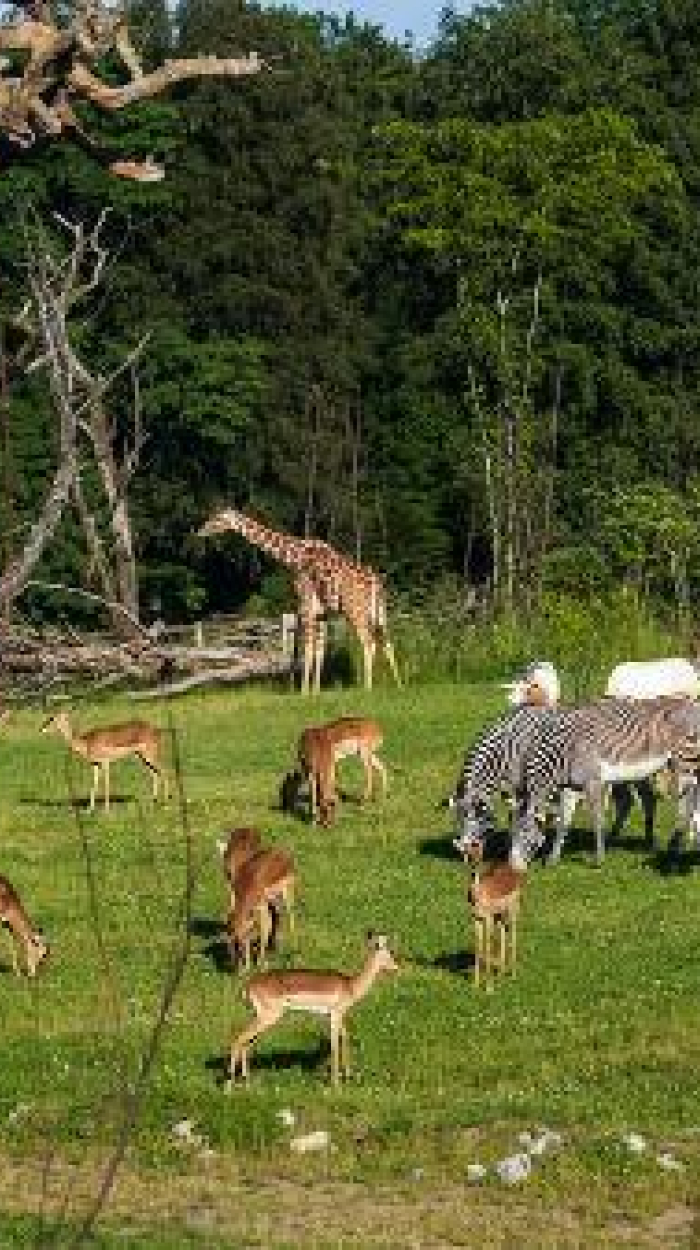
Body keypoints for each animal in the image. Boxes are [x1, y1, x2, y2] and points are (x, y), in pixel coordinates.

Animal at [509, 696, 700, 869]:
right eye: (512, 835)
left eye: (526, 835)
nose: (513, 868)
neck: (565, 754)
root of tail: (692, 702)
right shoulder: (570, 787)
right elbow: (563, 821)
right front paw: (552, 860)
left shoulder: (593, 782)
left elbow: (597, 820)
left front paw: (599, 860)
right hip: (678, 764)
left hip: (685, 761)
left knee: (686, 804)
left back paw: (673, 849)